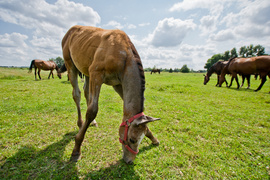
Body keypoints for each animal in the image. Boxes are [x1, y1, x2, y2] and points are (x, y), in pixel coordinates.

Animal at [61, 25, 160, 165]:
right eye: (132, 140)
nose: (130, 161)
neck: (122, 56)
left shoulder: (117, 83)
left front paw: (153, 138)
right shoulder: (96, 74)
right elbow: (92, 110)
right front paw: (76, 150)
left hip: (86, 71)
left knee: (86, 92)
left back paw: (92, 123)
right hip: (70, 64)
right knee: (77, 94)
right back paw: (80, 123)